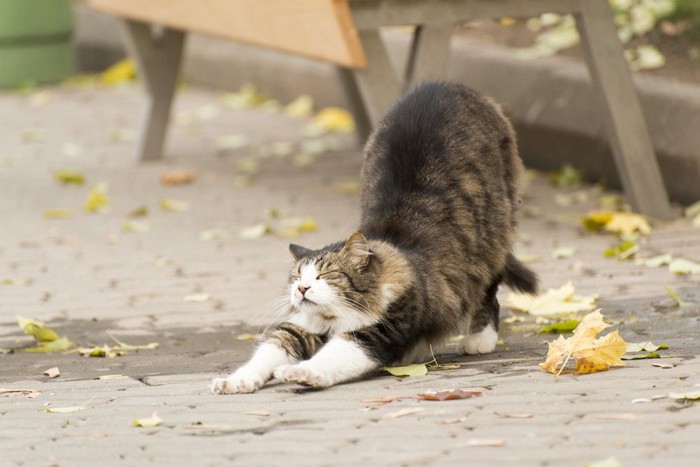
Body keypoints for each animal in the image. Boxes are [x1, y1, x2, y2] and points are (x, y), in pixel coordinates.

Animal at [211, 81, 540, 394]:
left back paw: (479, 340)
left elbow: (333, 356)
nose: (302, 288)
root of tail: (445, 85)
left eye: (324, 276)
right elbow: (266, 353)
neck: (336, 319)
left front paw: (303, 373)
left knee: (489, 291)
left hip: (493, 237)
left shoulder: (378, 331)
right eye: (296, 278)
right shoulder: (298, 329)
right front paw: (235, 381)